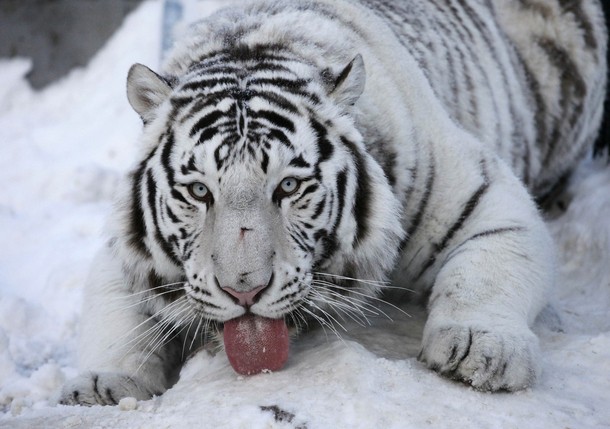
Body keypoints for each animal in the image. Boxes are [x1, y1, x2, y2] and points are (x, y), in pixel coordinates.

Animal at [58, 0, 604, 404]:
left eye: (287, 187)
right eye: (199, 191)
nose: (243, 291)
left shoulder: (484, 196)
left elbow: (483, 273)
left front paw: (480, 351)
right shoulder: (123, 250)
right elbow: (113, 315)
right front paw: (103, 385)